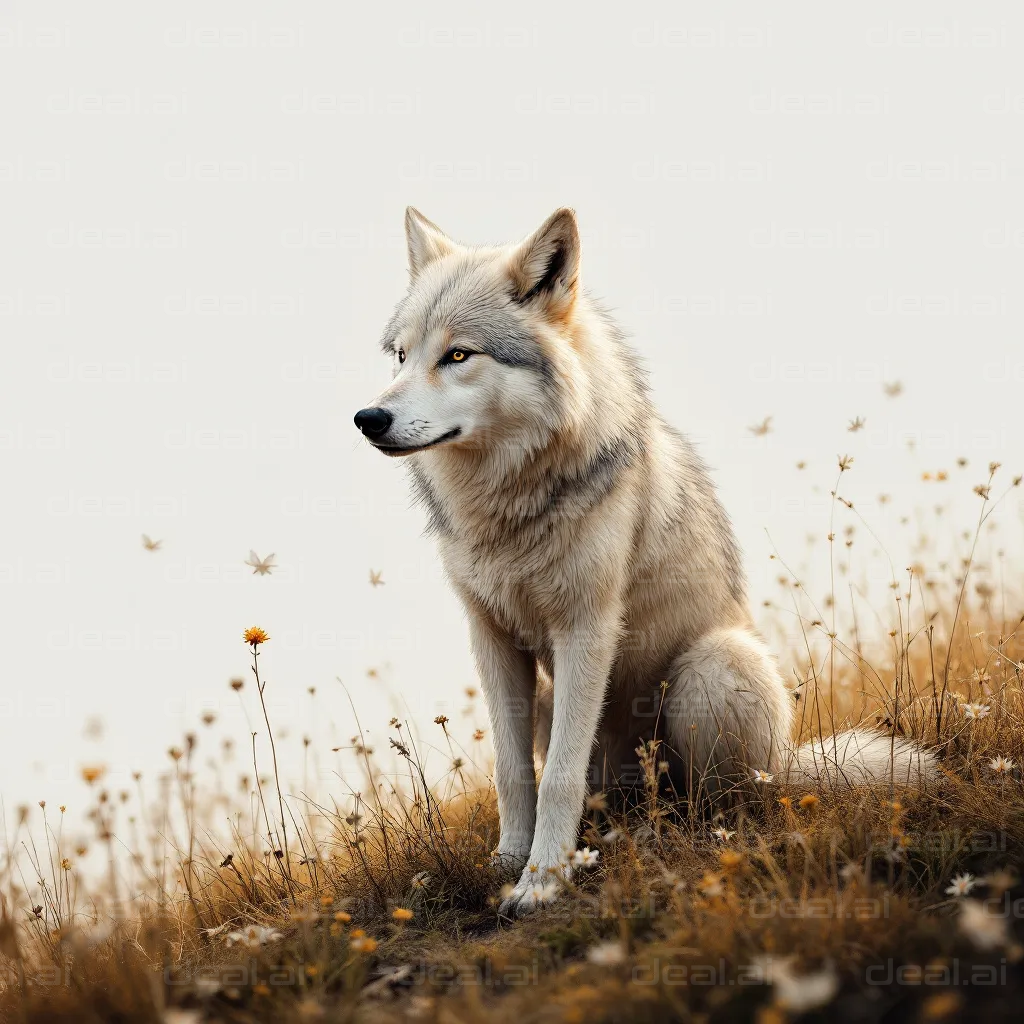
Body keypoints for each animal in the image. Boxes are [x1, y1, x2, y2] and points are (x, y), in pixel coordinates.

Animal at [354, 205, 937, 913]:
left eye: (458, 354)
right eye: (402, 355)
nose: (368, 417)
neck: (507, 504)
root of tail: (789, 767)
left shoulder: (585, 628)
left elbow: (558, 780)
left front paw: (541, 884)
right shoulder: (492, 636)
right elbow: (513, 771)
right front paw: (509, 865)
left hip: (714, 670)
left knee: (723, 808)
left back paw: (680, 834)